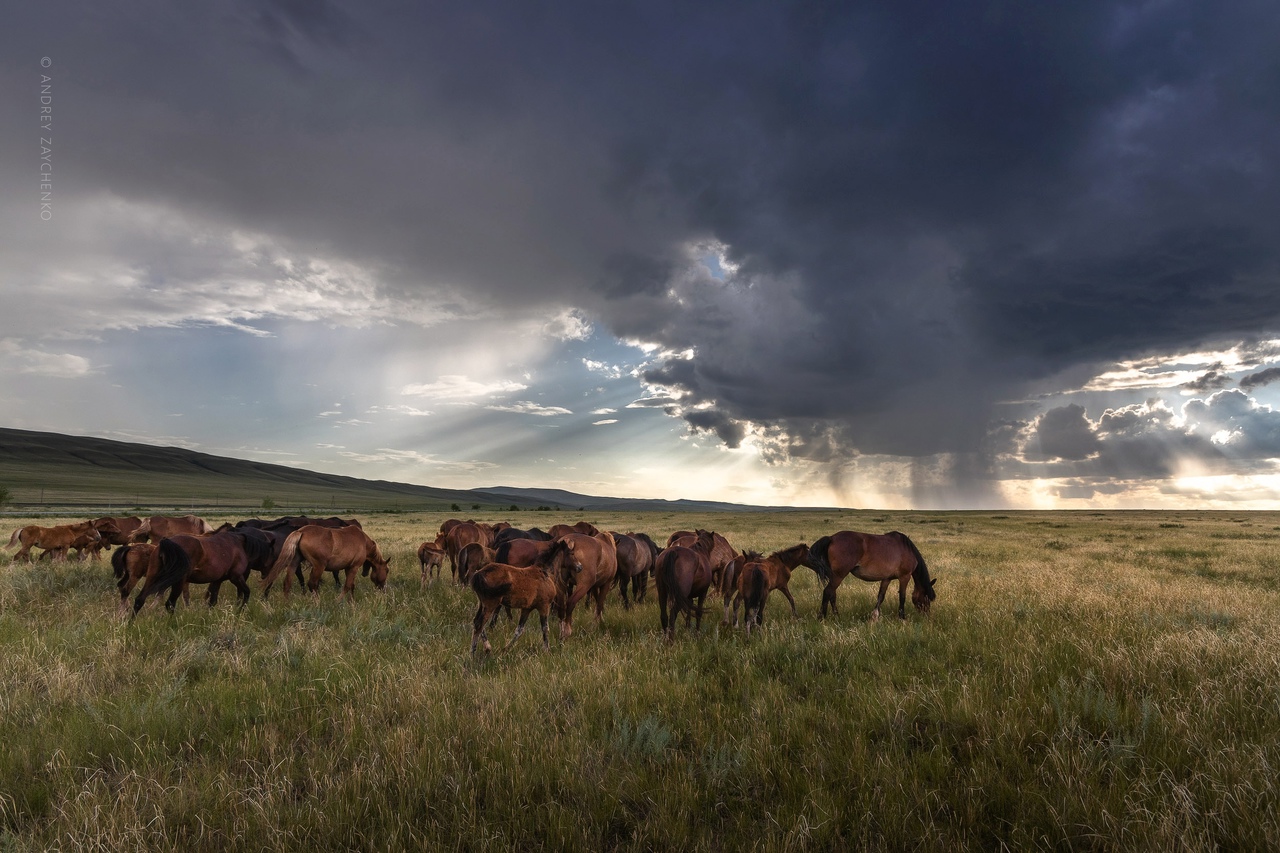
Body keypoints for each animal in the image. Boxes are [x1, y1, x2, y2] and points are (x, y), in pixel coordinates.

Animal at [259, 525, 389, 596]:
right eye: (387, 571)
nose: (383, 588)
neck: (364, 543)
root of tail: (301, 532)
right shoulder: (354, 567)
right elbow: (347, 586)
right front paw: (338, 602)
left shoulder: (348, 568)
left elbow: (351, 586)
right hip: (318, 566)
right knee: (312, 584)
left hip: (294, 563)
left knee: (287, 583)